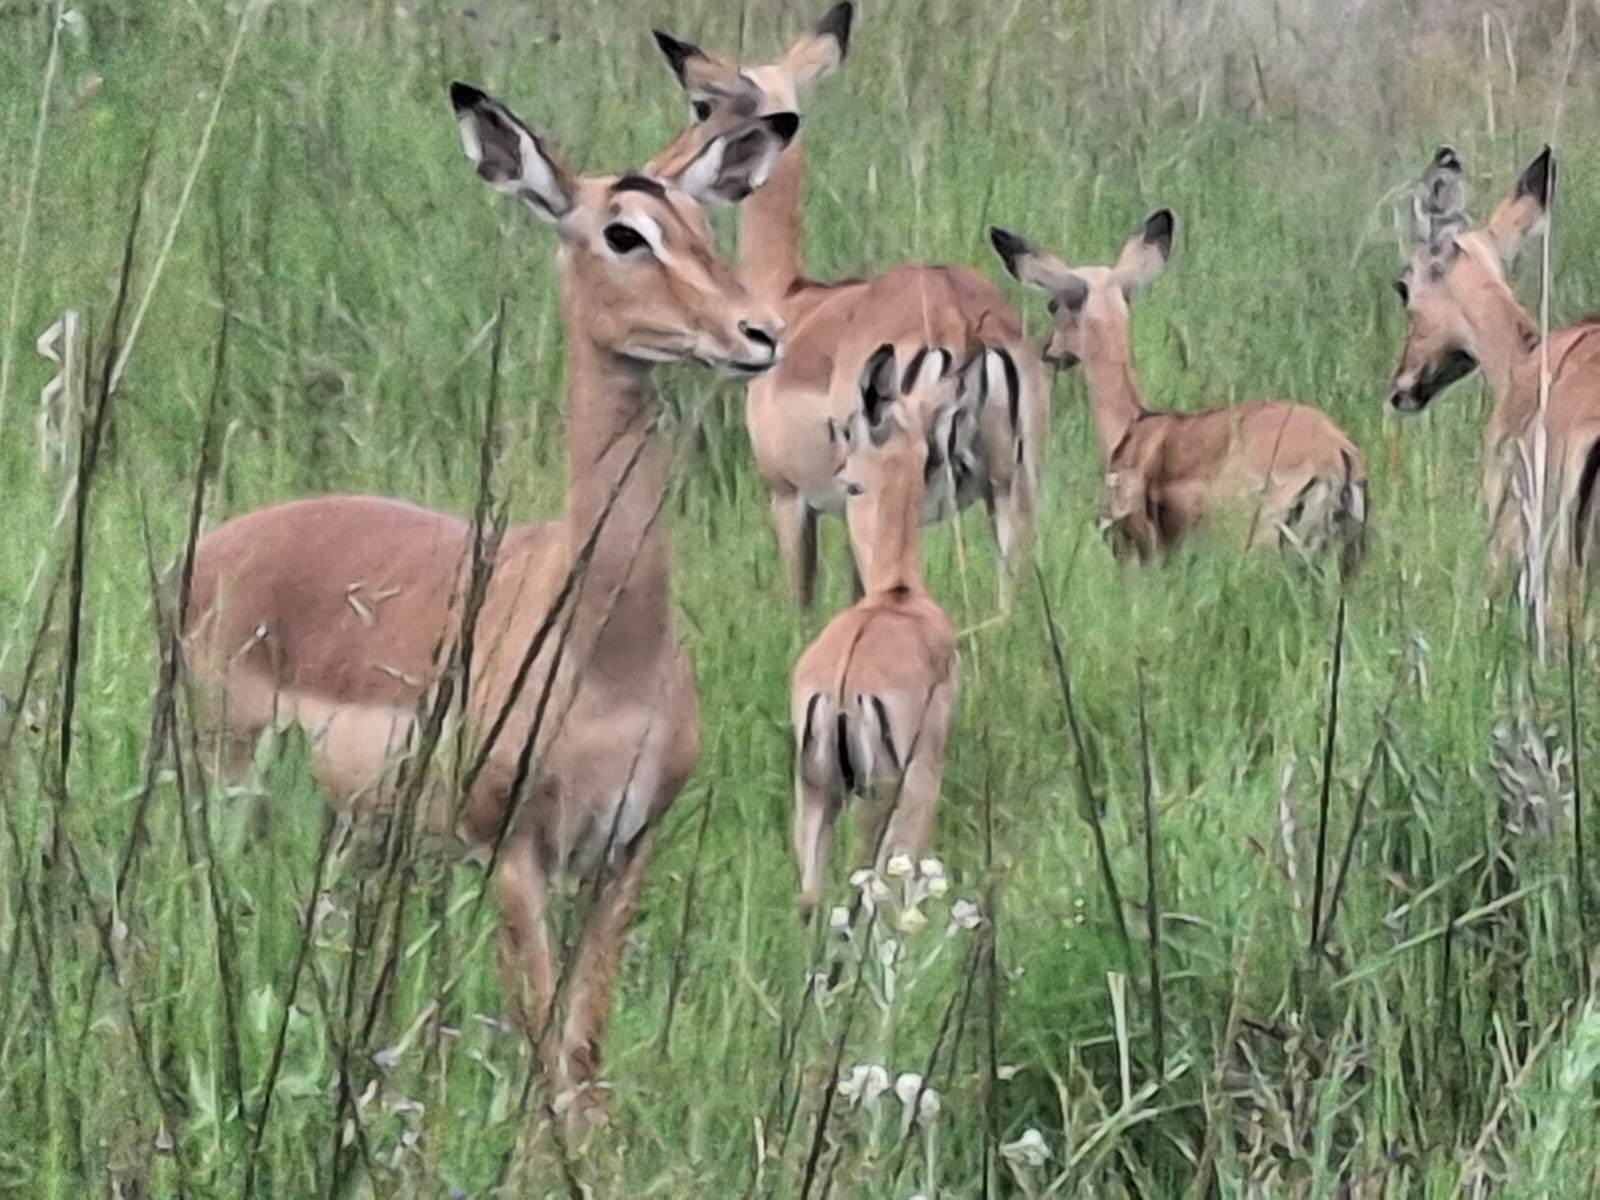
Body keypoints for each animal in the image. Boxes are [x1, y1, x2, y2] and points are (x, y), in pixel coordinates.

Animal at [182, 82, 797, 1125]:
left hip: (357, 829)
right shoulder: (514, 857)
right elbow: (546, 1054)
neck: (607, 657)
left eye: (705, 223)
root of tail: (211, 549)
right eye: (623, 233)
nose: (759, 334)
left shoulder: (623, 854)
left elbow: (585, 1053)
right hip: (235, 785)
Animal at [652, 3, 1049, 608]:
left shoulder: (791, 499)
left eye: (702, 105)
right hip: (1010, 495)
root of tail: (967, 327)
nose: (660, 169)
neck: (794, 297)